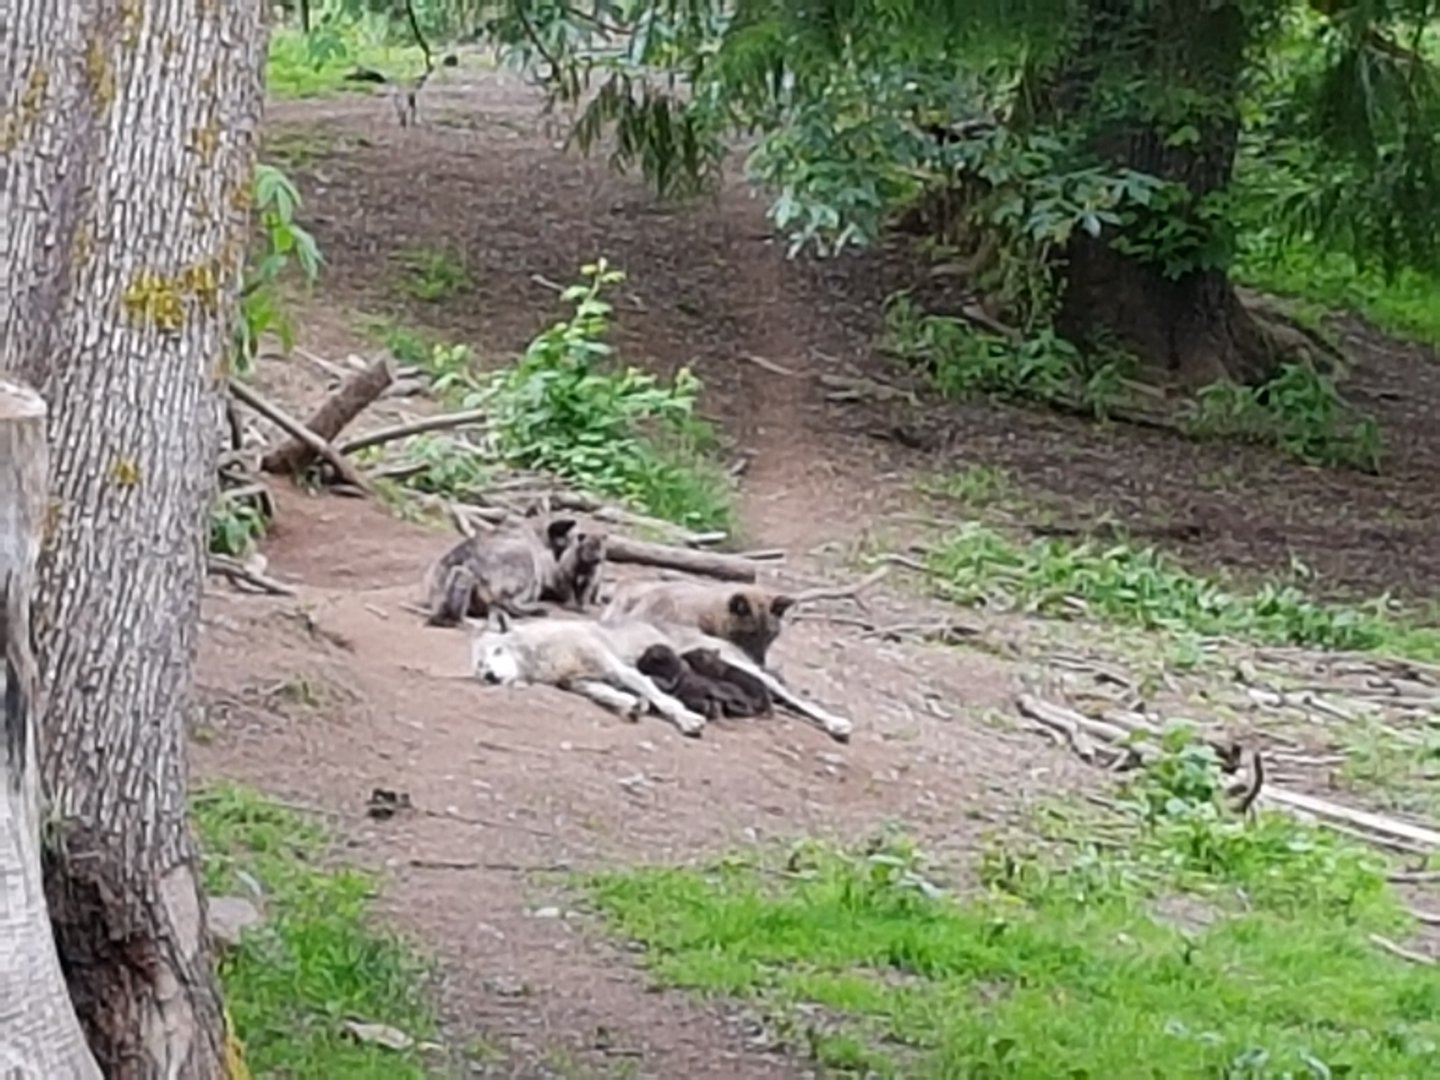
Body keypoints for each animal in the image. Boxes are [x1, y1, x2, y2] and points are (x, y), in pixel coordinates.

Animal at [469, 612, 852, 741]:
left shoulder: (618, 668)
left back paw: (836, 724)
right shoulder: (581, 682)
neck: (543, 653)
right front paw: (630, 705)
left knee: (794, 698)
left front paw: (687, 720)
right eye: (479, 665)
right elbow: (610, 696)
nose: (489, 676)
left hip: (747, 670)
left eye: (496, 652)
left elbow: (661, 699)